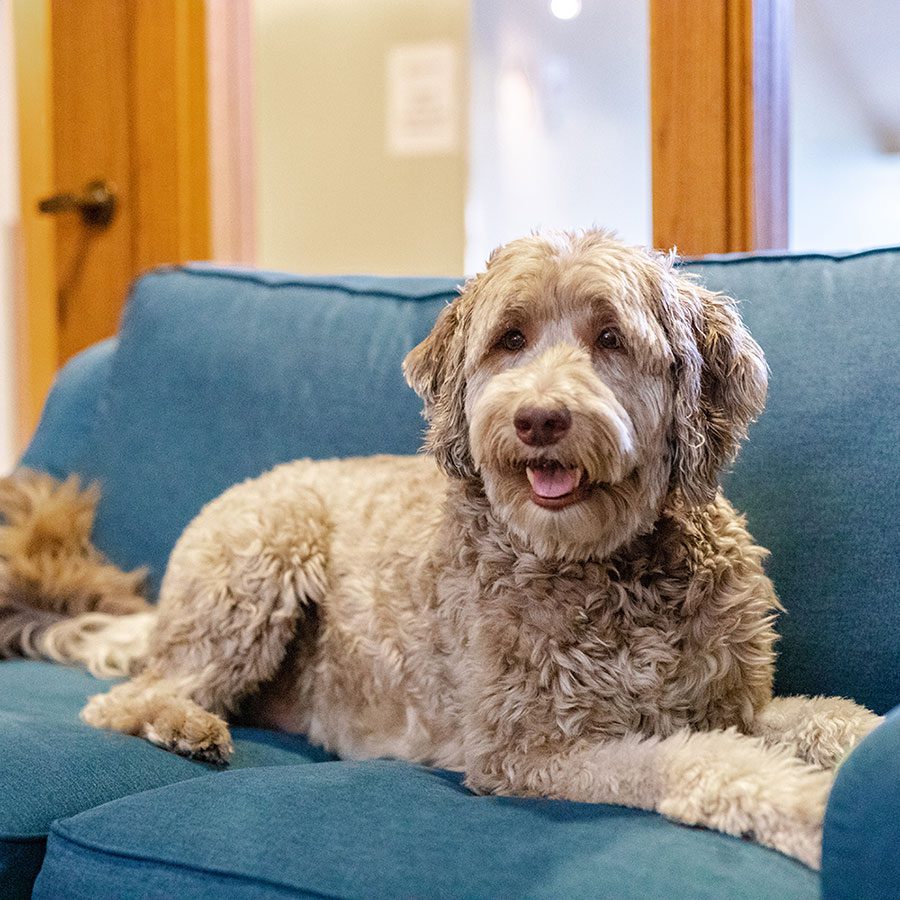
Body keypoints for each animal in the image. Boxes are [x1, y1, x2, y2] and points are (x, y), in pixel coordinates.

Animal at [0, 232, 884, 872]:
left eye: (610, 337)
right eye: (511, 339)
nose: (538, 419)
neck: (604, 564)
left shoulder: (732, 702)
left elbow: (830, 718)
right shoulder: (534, 751)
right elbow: (713, 765)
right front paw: (812, 811)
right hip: (264, 556)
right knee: (128, 697)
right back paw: (182, 724)